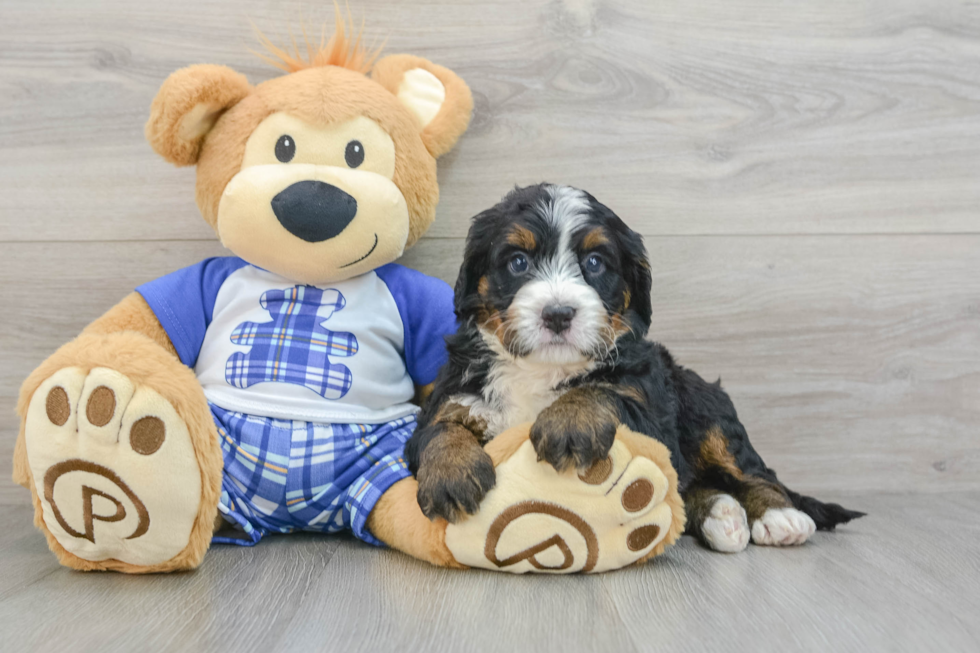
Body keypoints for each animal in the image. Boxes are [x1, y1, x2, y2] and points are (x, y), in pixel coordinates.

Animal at [406, 182, 864, 552]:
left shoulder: (650, 411)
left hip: (706, 406)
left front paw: (569, 420)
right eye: (518, 262)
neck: (543, 371)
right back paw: (723, 516)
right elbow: (439, 428)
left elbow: (602, 390)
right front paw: (451, 472)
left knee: (753, 470)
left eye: (594, 263)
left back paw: (778, 516)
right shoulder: (452, 393)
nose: (558, 314)